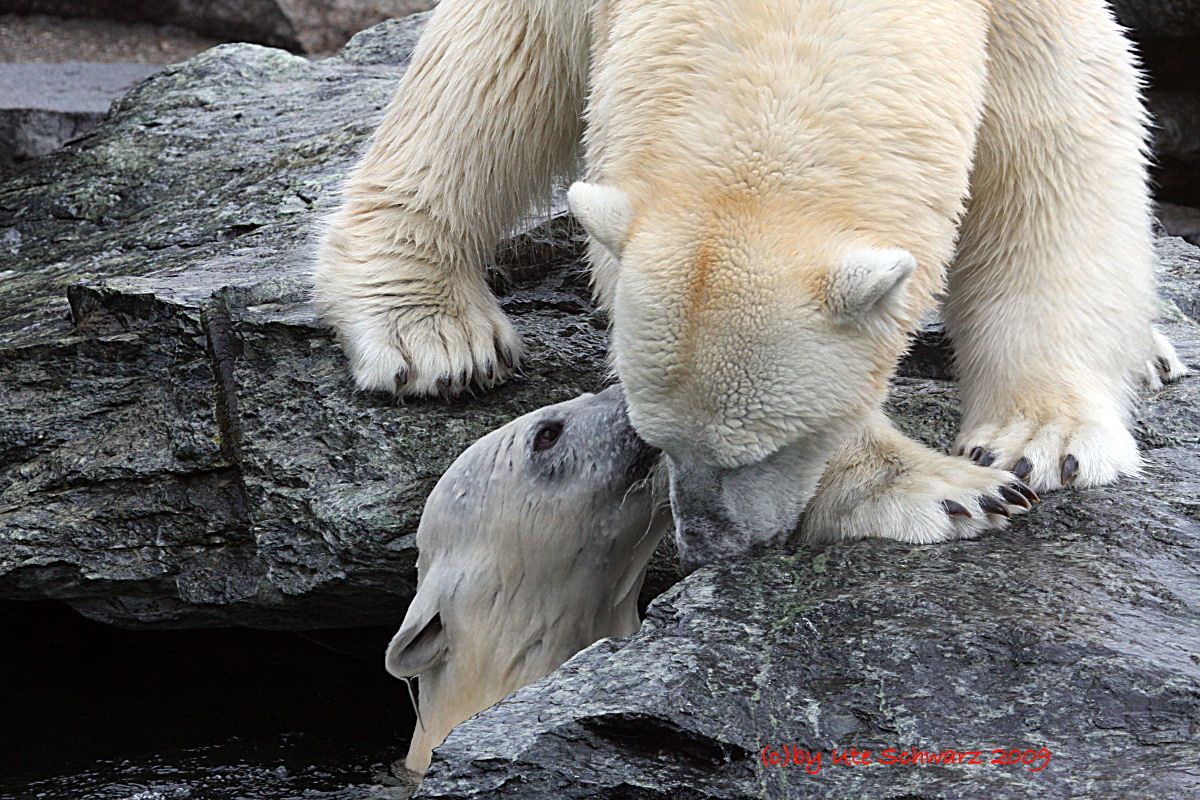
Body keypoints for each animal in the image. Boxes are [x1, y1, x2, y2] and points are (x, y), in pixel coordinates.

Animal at [314, 0, 1185, 568]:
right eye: (653, 441)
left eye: (768, 449)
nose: (708, 548)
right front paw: (948, 492)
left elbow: (1061, 147)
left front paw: (1046, 442)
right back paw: (429, 329)